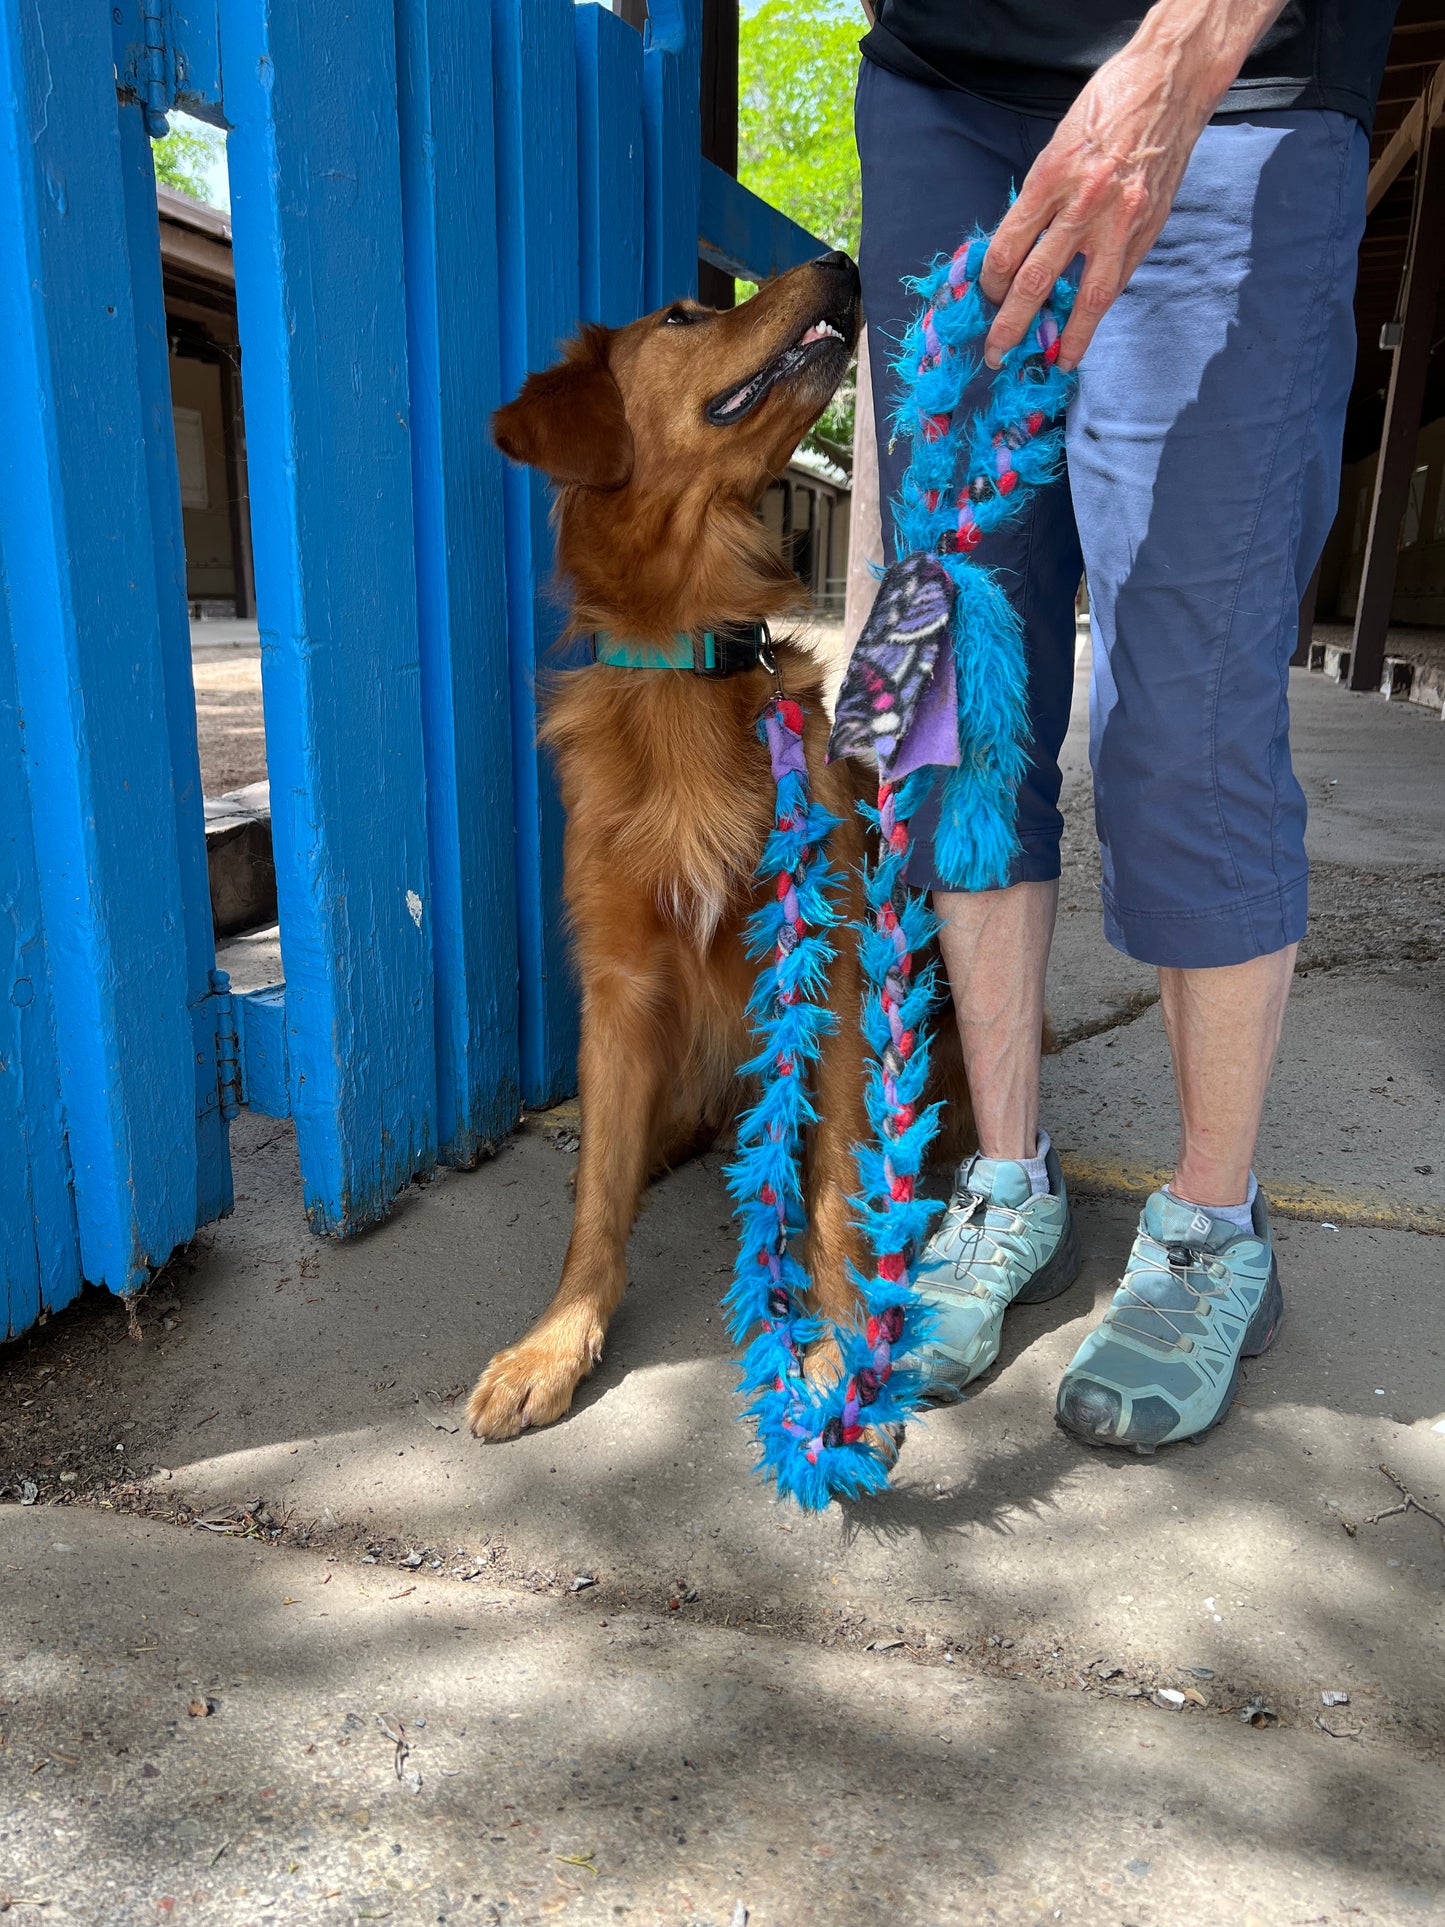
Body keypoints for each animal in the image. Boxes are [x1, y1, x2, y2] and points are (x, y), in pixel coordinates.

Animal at [472, 248, 974, 1441]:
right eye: (680, 316)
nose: (839, 261)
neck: (689, 660)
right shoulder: (616, 981)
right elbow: (595, 1204)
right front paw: (555, 1337)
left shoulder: (829, 962)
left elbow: (835, 1176)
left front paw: (839, 1343)